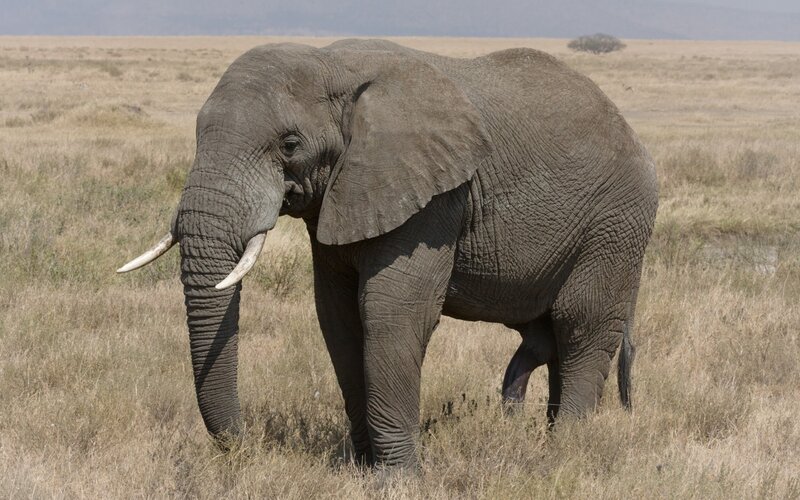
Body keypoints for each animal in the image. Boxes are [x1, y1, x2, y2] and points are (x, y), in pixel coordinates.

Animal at [118, 39, 658, 469]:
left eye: (289, 144)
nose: (244, 446)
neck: (332, 64)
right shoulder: (343, 195)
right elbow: (337, 317)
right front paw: (359, 468)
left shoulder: (434, 198)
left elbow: (390, 313)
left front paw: (397, 478)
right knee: (547, 337)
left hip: (615, 223)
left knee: (581, 326)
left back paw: (564, 452)